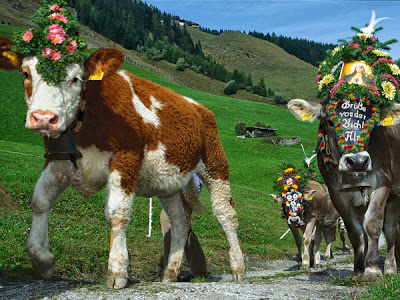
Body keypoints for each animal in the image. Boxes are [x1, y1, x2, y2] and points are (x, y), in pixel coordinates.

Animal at [290, 99, 400, 280]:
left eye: (373, 121)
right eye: (330, 121)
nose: (358, 161)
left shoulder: (382, 182)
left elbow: (373, 223)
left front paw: (373, 269)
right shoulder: (336, 193)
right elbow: (354, 231)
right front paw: (359, 269)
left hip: (394, 196)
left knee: (391, 229)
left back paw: (390, 268)